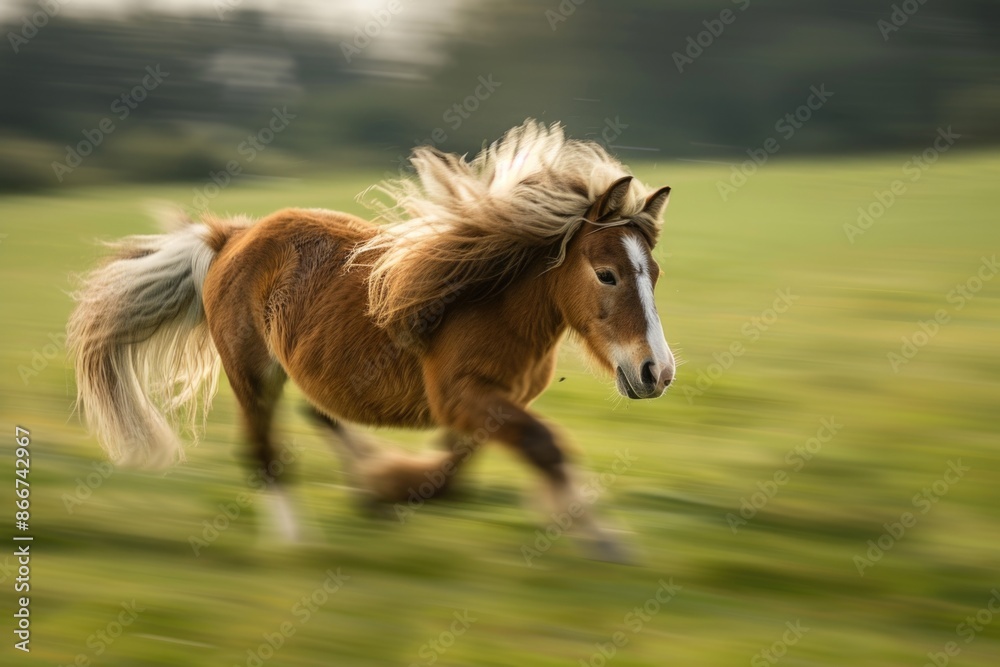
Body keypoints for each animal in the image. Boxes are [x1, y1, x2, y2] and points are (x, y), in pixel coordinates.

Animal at [67, 120, 675, 560]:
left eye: (654, 273)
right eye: (606, 274)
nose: (657, 372)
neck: (495, 306)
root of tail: (231, 236)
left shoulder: (487, 404)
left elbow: (463, 470)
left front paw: (392, 488)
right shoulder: (462, 397)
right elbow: (542, 446)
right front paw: (606, 541)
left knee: (317, 414)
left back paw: (362, 488)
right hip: (251, 373)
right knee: (264, 454)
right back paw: (296, 544)